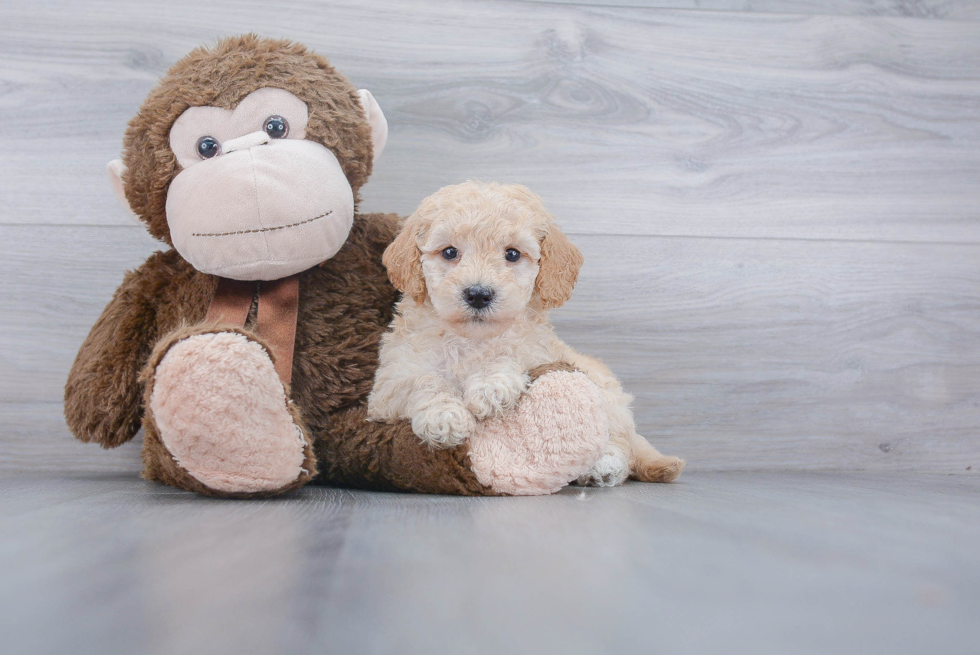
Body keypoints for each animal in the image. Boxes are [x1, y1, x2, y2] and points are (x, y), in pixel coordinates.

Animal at [366, 182, 680, 484]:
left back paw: (604, 466)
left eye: (513, 254)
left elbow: (512, 353)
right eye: (450, 252)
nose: (478, 294)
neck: (471, 341)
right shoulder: (386, 388)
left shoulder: (540, 354)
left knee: (621, 441)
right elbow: (422, 381)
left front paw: (490, 384)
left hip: (607, 396)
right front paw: (444, 416)